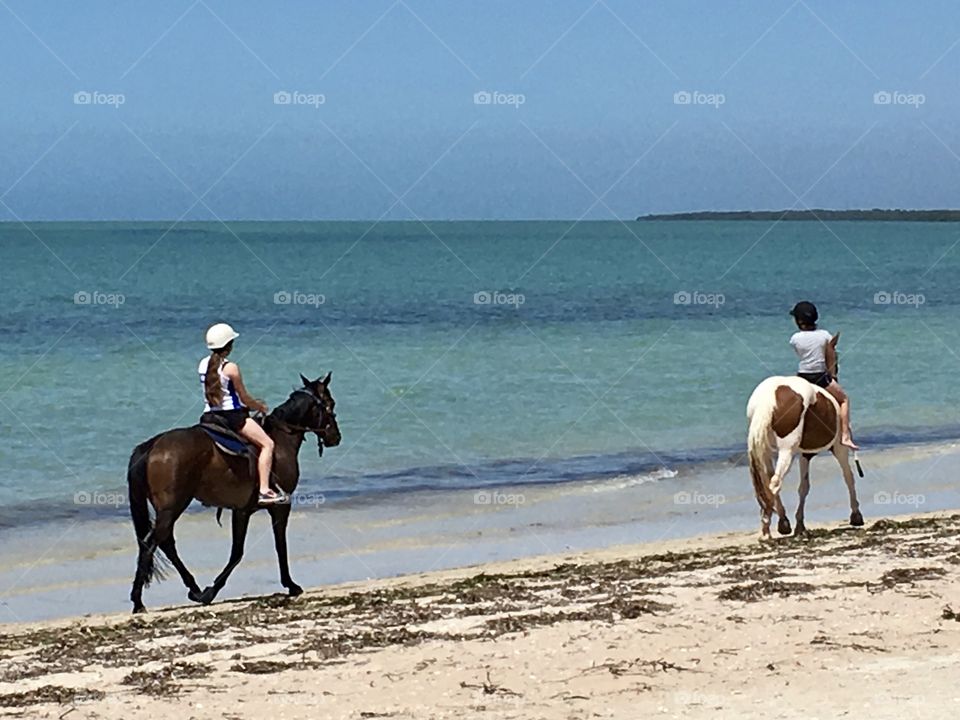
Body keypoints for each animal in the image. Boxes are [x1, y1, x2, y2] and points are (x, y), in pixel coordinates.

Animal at [125, 372, 340, 612]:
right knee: (153, 543)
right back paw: (138, 600)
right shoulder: (280, 506)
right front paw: (290, 585)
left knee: (164, 543)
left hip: (170, 509)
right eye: (330, 403)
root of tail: (154, 444)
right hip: (173, 506)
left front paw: (209, 591)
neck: (280, 440)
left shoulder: (242, 510)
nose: (336, 437)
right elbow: (276, 546)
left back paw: (194, 589)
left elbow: (237, 551)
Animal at [744, 338, 864, 540]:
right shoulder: (838, 449)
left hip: (766, 452)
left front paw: (799, 524)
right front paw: (856, 515)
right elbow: (848, 477)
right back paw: (766, 528)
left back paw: (782, 523)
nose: (835, 372)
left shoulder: (804, 454)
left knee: (769, 483)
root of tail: (770, 397)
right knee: (775, 483)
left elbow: (804, 487)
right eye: (835, 354)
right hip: (787, 451)